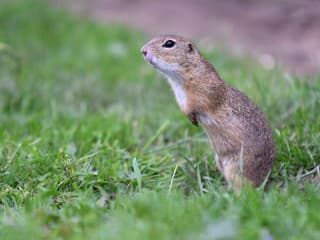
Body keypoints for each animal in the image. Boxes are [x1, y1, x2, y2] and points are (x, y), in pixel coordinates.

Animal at [141, 34, 276, 190]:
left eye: (169, 43)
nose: (143, 50)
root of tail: (265, 177)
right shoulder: (180, 99)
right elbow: (184, 108)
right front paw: (191, 119)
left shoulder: (203, 92)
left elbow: (198, 104)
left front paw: (193, 118)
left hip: (237, 168)